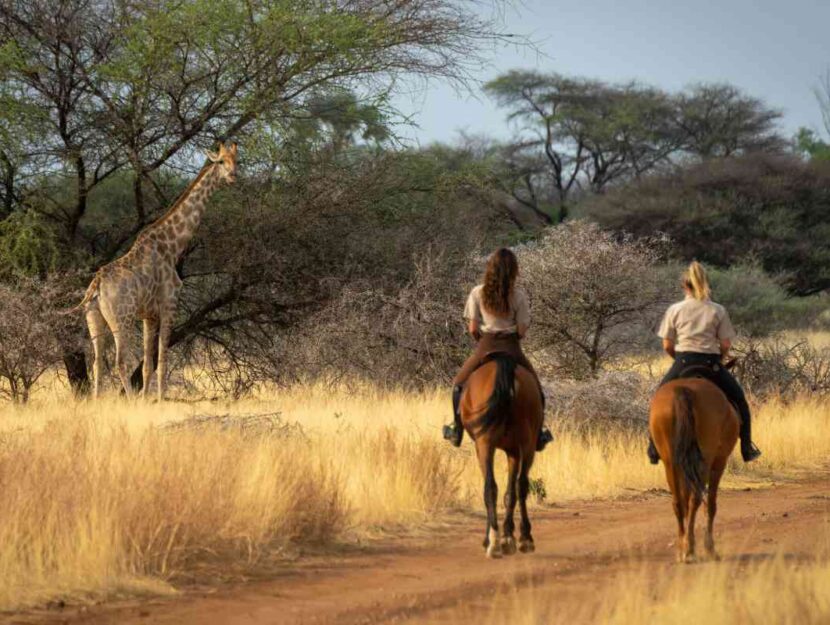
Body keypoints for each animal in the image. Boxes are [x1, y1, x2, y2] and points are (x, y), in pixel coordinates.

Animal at [73, 140, 239, 400]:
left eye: (236, 160)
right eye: (221, 161)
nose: (233, 176)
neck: (172, 245)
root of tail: (96, 284)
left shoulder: (148, 315)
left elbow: (148, 366)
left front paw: (147, 400)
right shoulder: (169, 305)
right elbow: (162, 361)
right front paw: (159, 400)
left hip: (94, 317)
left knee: (97, 362)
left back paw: (97, 401)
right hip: (122, 318)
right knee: (120, 362)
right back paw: (129, 402)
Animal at [462, 354, 544, 560]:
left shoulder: (492, 447)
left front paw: (499, 537)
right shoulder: (512, 450)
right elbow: (509, 492)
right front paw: (507, 536)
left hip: (489, 443)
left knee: (495, 486)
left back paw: (498, 542)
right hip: (525, 443)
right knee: (518, 485)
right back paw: (518, 539)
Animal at [648, 378, 740, 564]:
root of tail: (683, 389)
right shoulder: (719, 462)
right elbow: (711, 504)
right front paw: (710, 549)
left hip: (671, 462)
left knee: (679, 502)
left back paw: (683, 550)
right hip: (705, 462)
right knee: (696, 500)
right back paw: (690, 549)